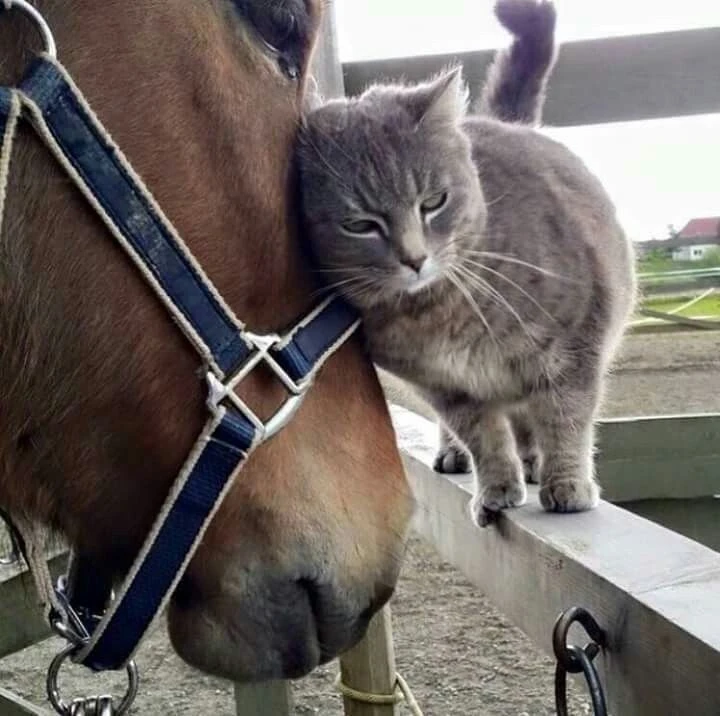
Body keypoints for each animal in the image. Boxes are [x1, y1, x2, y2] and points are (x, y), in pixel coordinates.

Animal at [296, 0, 636, 526]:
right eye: (359, 225)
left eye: (434, 201)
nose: (414, 258)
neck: (439, 312)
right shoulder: (445, 386)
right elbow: (483, 436)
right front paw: (495, 486)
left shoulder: (575, 345)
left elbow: (566, 418)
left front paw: (566, 482)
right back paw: (459, 454)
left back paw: (536, 463)